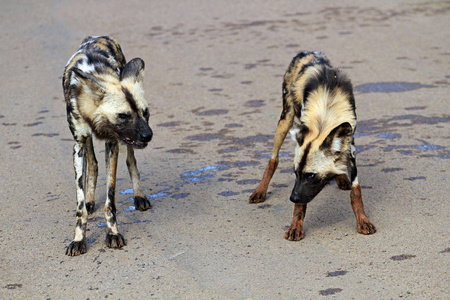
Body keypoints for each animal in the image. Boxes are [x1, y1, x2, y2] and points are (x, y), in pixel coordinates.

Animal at [61, 35, 154, 255]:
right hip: (88, 142)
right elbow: (80, 207)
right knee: (93, 165)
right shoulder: (78, 144)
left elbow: (110, 202)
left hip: (125, 141)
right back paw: (90, 199)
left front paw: (112, 234)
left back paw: (139, 196)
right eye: (123, 115)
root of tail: (99, 37)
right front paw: (78, 239)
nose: (148, 135)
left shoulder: (113, 142)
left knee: (131, 161)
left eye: (145, 113)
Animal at [250, 50, 376, 240]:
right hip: (284, 122)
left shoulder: (350, 150)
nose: (292, 198)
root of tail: (307, 53)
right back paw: (260, 190)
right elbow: (301, 206)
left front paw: (363, 220)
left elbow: (356, 192)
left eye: (310, 175)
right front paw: (295, 226)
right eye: (295, 173)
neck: (326, 115)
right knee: (273, 159)